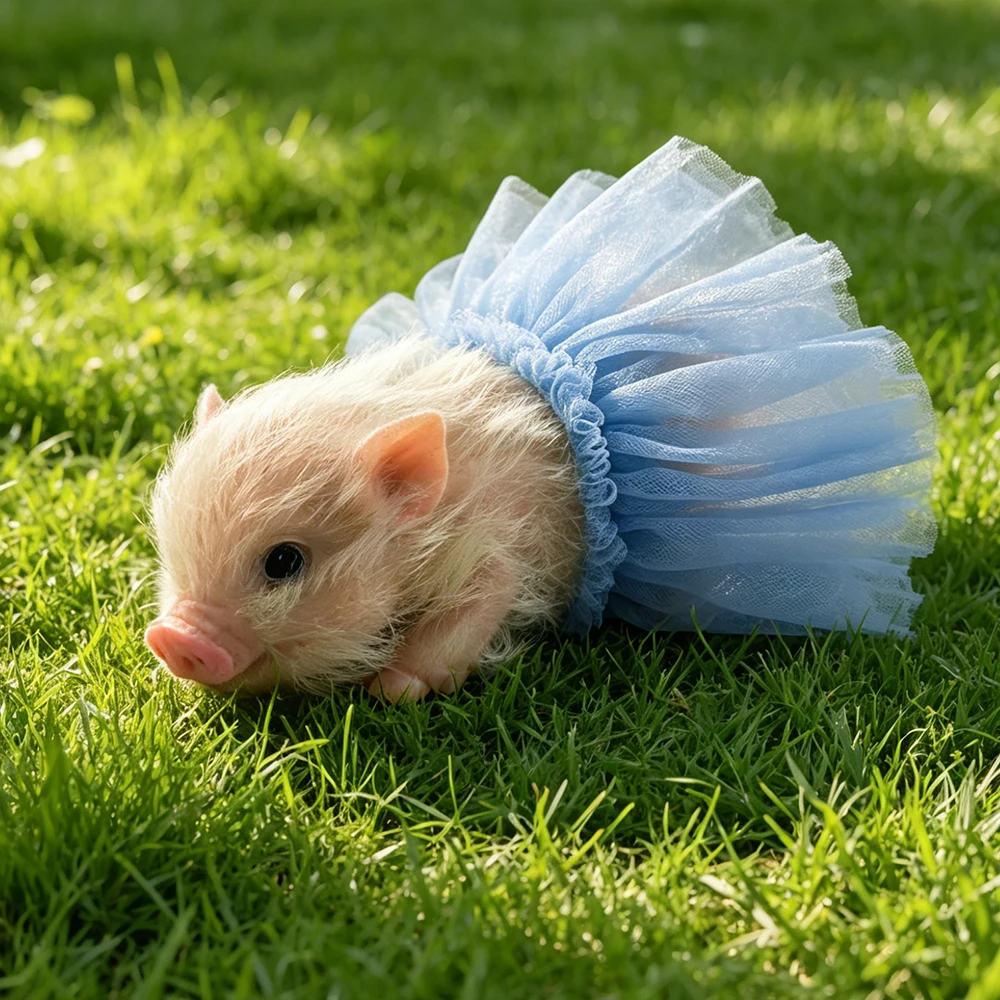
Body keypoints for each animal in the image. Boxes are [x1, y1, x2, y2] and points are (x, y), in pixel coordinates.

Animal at [145, 332, 586, 701]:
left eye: (284, 560)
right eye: (172, 555)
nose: (171, 635)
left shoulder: (501, 549)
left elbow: (478, 603)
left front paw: (391, 691)